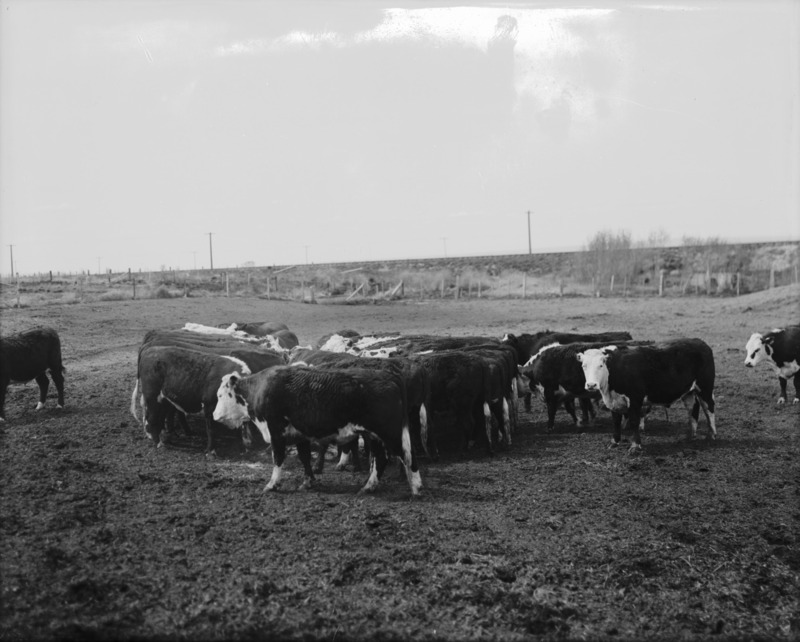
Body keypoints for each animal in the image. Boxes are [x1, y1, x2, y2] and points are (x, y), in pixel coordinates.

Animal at [212, 365, 423, 495]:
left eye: (220, 395)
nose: (214, 415)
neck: (258, 390)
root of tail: (389, 376)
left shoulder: (276, 431)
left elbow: (278, 458)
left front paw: (272, 485)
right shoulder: (299, 435)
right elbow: (304, 457)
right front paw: (308, 482)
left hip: (389, 433)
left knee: (408, 454)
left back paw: (417, 488)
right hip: (375, 435)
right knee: (381, 459)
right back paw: (368, 487)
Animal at [577, 338, 716, 453]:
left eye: (601, 365)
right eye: (584, 366)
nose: (591, 385)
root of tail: (700, 342)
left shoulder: (635, 399)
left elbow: (634, 421)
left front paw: (635, 446)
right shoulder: (613, 401)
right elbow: (616, 422)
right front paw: (614, 443)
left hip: (705, 388)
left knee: (709, 408)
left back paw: (711, 435)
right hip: (689, 392)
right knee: (693, 409)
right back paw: (690, 436)